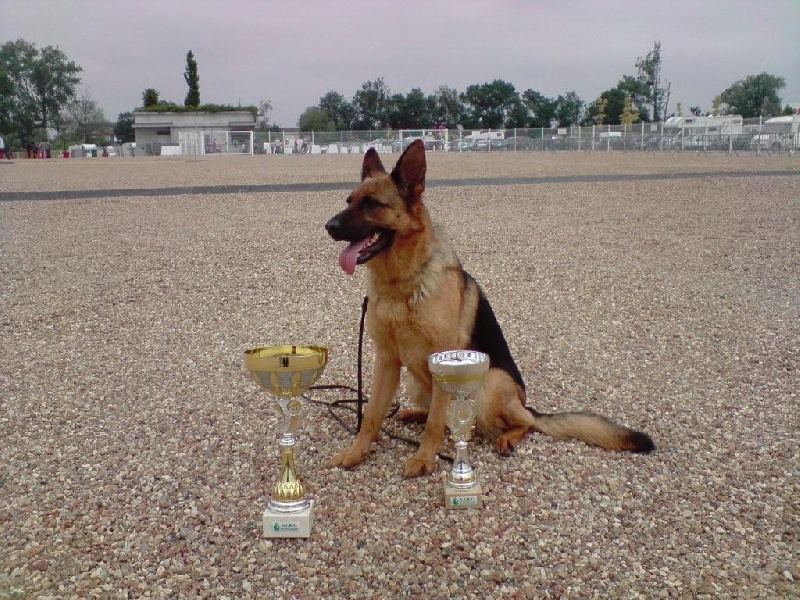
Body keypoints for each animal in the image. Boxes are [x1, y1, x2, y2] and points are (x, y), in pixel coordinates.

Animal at [324, 141, 656, 478]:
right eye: (349, 201)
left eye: (371, 204)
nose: (329, 226)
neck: (402, 283)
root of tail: (524, 402)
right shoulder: (387, 361)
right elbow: (371, 415)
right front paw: (355, 452)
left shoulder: (439, 358)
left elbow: (434, 424)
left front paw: (424, 458)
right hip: (416, 382)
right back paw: (417, 414)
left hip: (489, 385)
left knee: (525, 422)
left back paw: (507, 437)